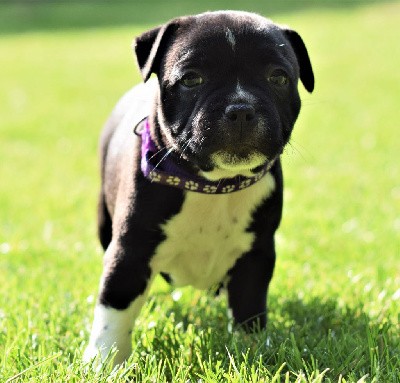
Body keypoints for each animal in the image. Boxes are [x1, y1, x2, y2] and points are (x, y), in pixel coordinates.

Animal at [84, 10, 314, 366]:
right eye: (191, 79)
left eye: (278, 78)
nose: (241, 108)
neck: (213, 184)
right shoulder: (129, 252)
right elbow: (115, 307)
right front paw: (105, 362)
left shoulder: (256, 254)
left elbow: (249, 308)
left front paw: (251, 352)